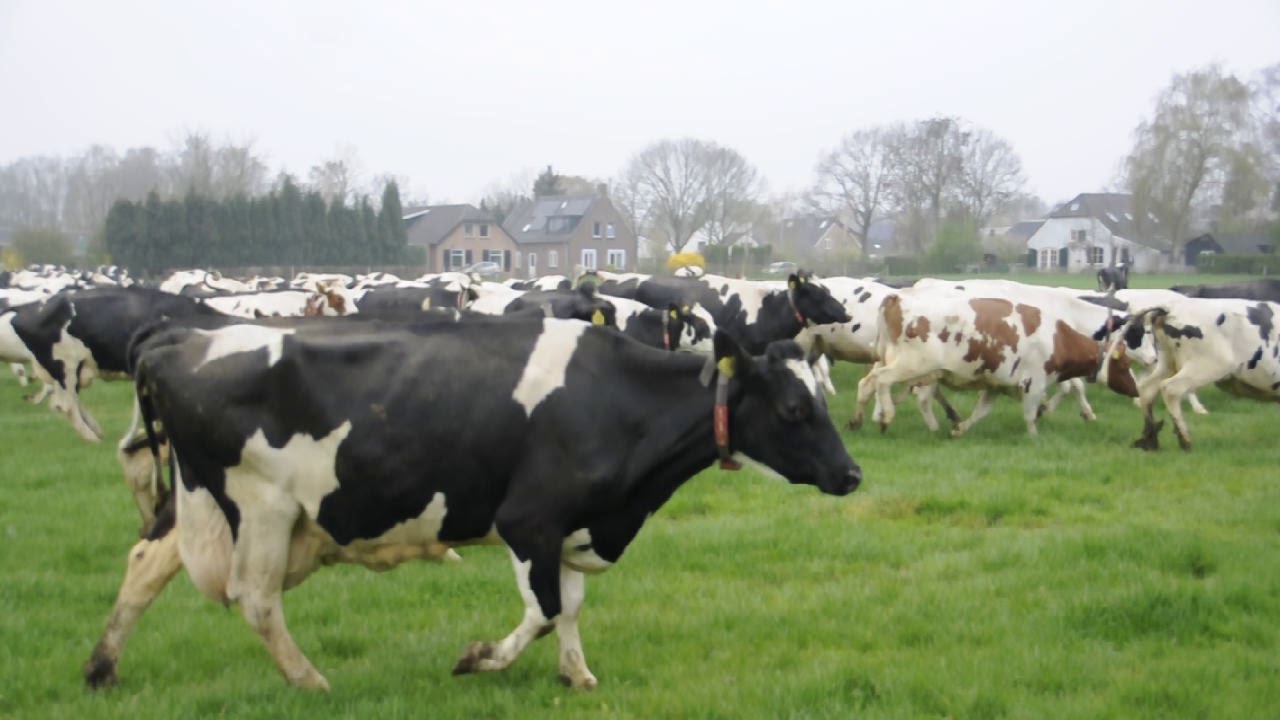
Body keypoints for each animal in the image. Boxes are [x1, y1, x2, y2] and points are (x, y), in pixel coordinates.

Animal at [83, 315, 861, 691]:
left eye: (823, 400)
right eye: (794, 409)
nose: (852, 474)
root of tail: (184, 333)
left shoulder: (572, 526)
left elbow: (570, 608)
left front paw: (578, 676)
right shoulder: (529, 520)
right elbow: (543, 612)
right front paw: (478, 658)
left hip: (195, 500)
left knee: (144, 563)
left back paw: (102, 667)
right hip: (261, 504)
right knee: (255, 598)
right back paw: (310, 680)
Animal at [853, 286, 1139, 436]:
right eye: (1124, 365)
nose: (1136, 390)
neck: (1056, 336)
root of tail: (897, 297)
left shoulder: (994, 385)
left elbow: (982, 411)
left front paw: (960, 429)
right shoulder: (1033, 383)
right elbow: (1031, 414)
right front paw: (1034, 437)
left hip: (897, 363)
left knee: (867, 384)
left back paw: (858, 421)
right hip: (911, 365)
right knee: (882, 382)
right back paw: (887, 417)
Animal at [1107, 297, 1280, 451]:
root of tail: (1170, 308)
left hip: (1167, 363)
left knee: (1146, 390)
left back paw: (1151, 441)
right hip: (1206, 366)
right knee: (1171, 388)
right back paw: (1184, 439)